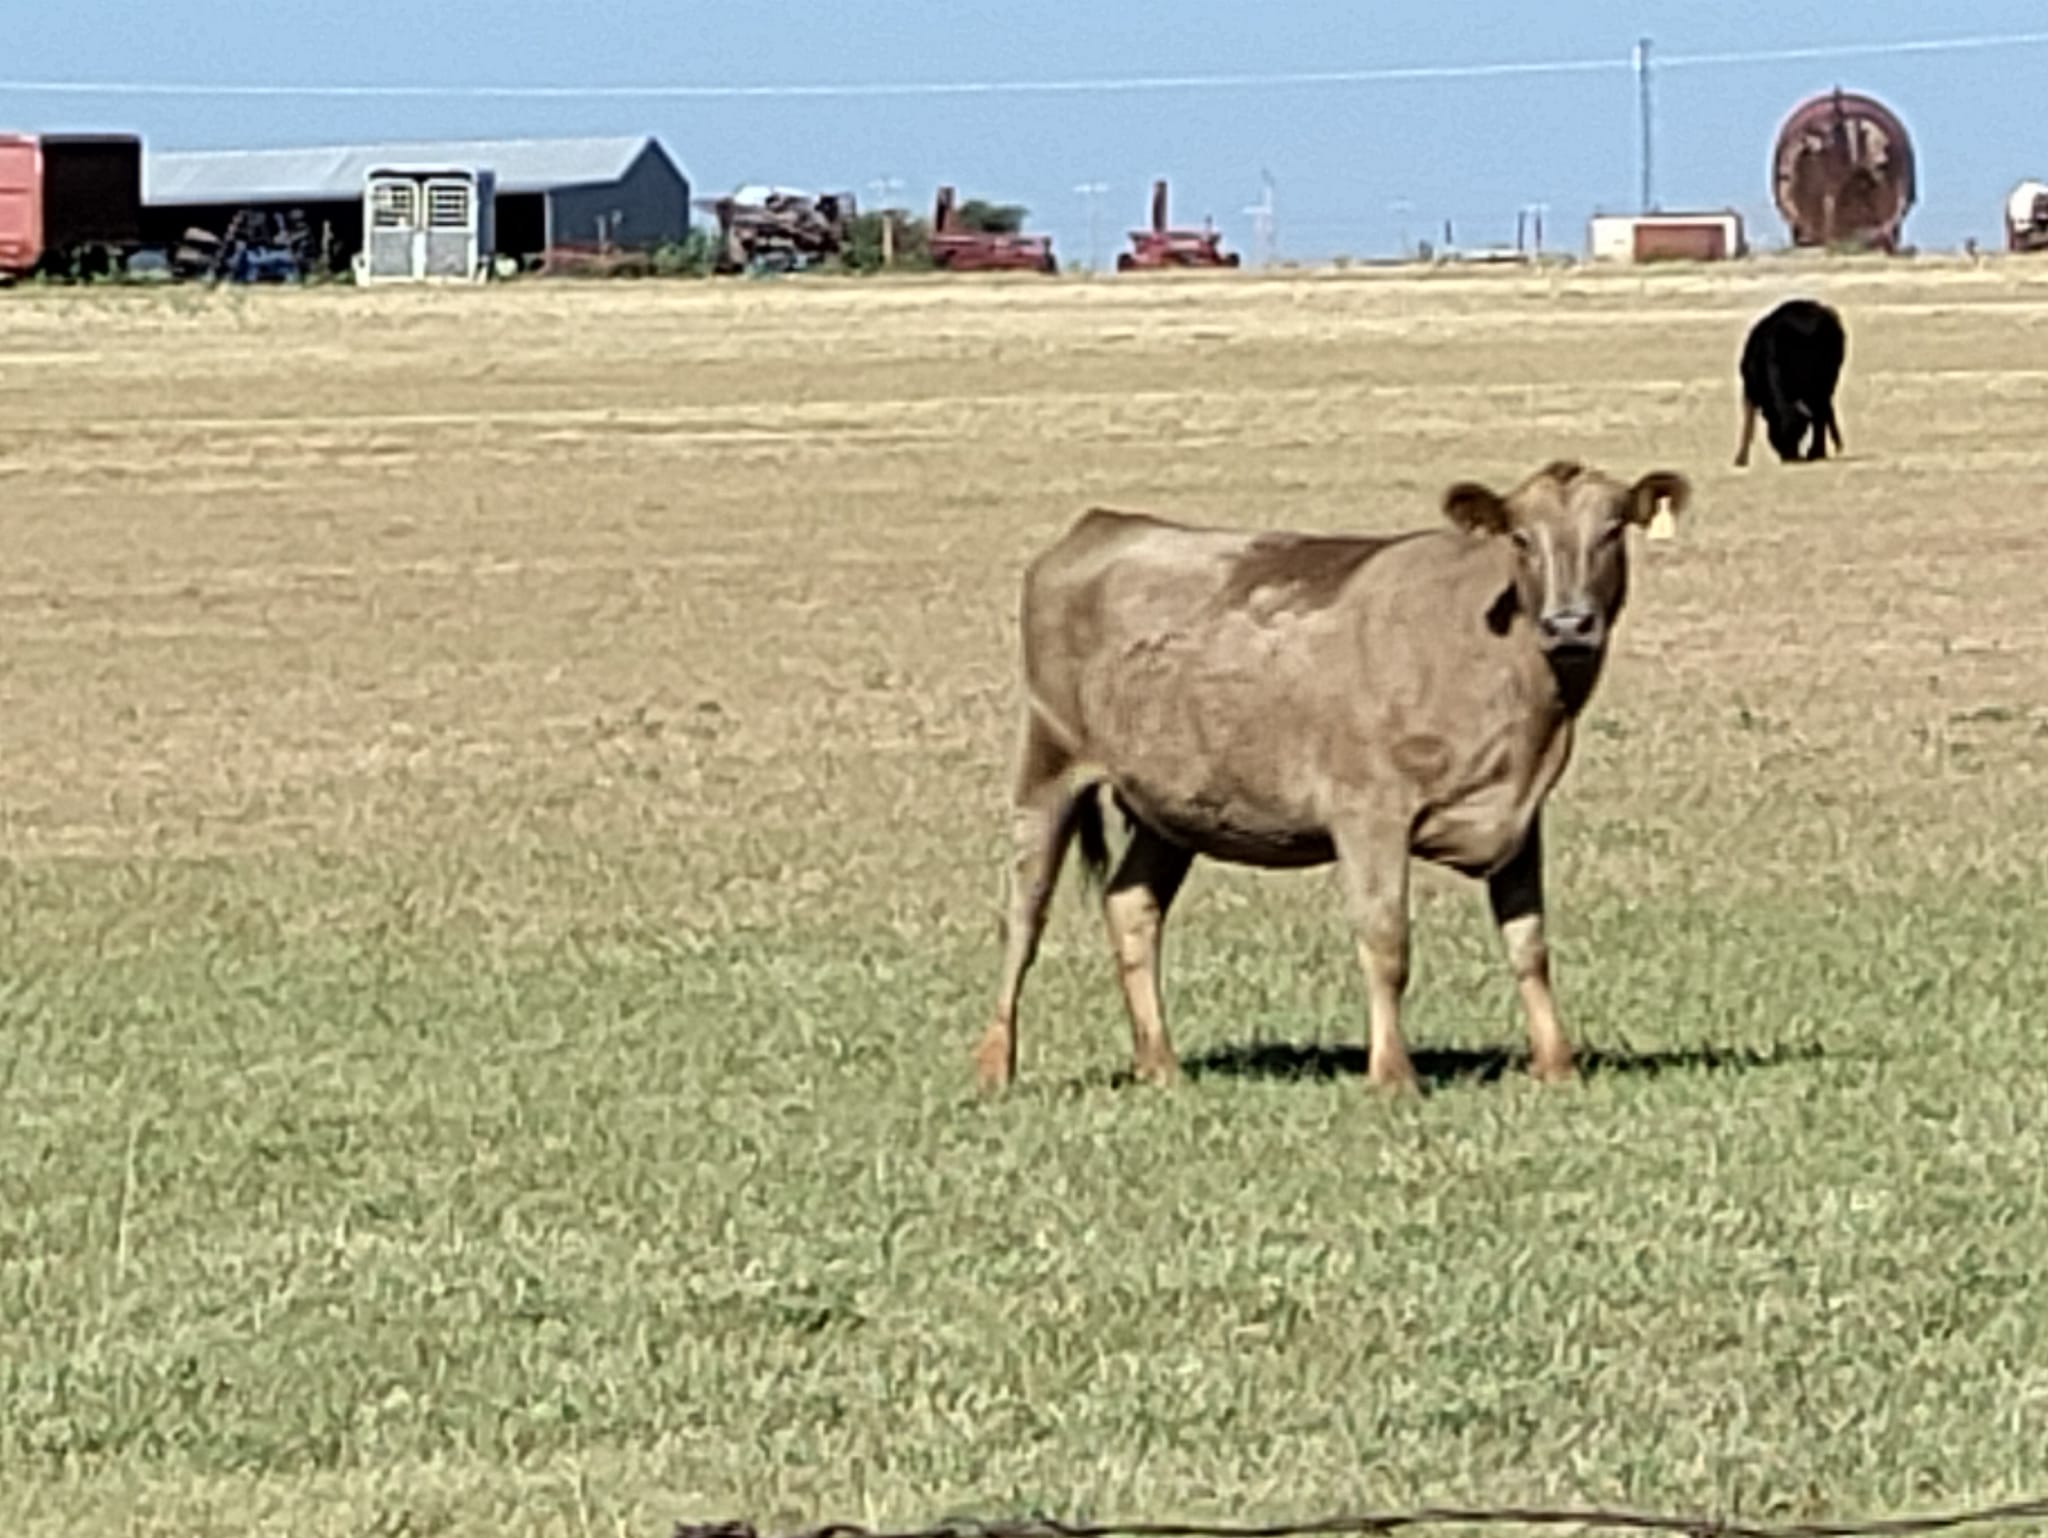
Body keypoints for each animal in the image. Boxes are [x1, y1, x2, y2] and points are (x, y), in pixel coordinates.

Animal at [974, 456, 1695, 1097]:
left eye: (1611, 530)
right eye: (1520, 537)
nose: (1569, 623)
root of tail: (1103, 523)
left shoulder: (1519, 815)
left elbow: (1529, 945)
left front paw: (1556, 1065)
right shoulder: (1368, 813)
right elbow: (1387, 942)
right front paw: (1393, 1074)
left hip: (1174, 805)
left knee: (1131, 907)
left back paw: (1161, 1067)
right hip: (1048, 761)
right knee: (1024, 913)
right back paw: (996, 1066)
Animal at [1736, 301, 1851, 466]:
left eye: (1800, 433)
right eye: (1776, 434)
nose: (1792, 458)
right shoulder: (1749, 390)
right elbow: (1748, 423)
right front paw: (1740, 459)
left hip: (1828, 380)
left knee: (1822, 414)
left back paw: (1817, 452)